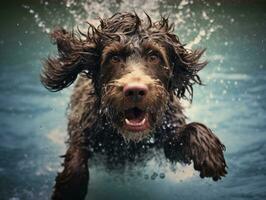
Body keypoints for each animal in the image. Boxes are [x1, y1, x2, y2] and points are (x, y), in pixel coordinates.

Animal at [41, 12, 227, 200]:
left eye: (154, 57)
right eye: (114, 58)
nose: (135, 90)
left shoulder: (169, 139)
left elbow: (189, 132)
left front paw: (209, 152)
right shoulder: (83, 129)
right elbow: (77, 154)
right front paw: (69, 188)